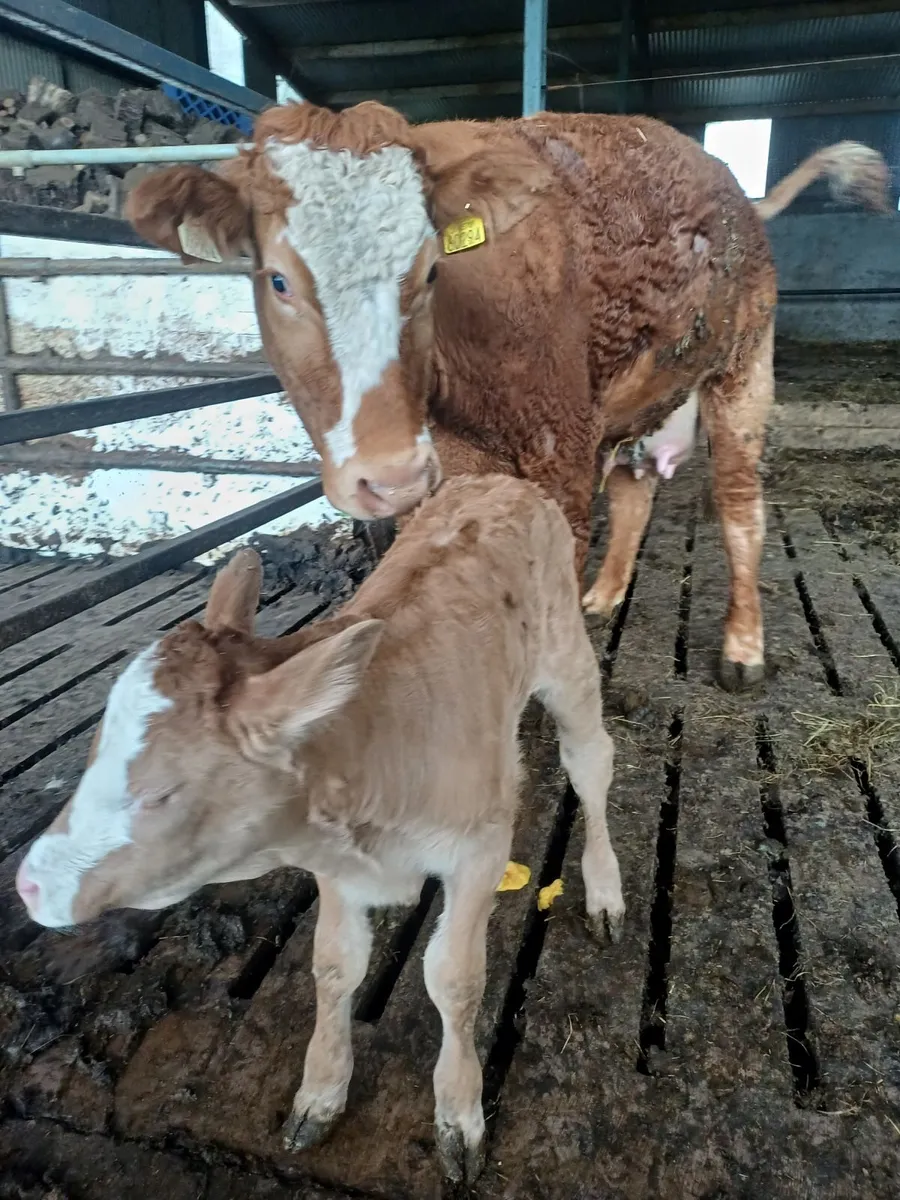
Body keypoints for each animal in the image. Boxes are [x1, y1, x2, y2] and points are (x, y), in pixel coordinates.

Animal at [15, 474, 624, 1185]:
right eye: (94, 749)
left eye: (162, 792)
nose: (28, 885)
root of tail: (501, 480)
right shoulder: (333, 861)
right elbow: (334, 965)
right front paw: (320, 1095)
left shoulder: (480, 847)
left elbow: (454, 978)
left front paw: (459, 1114)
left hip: (568, 660)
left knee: (590, 762)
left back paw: (605, 891)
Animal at [126, 107, 889, 691]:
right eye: (278, 280)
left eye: (431, 270)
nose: (388, 474)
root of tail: (734, 190)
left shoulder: (558, 455)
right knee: (635, 490)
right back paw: (604, 595)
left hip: (743, 364)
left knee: (738, 507)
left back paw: (742, 649)